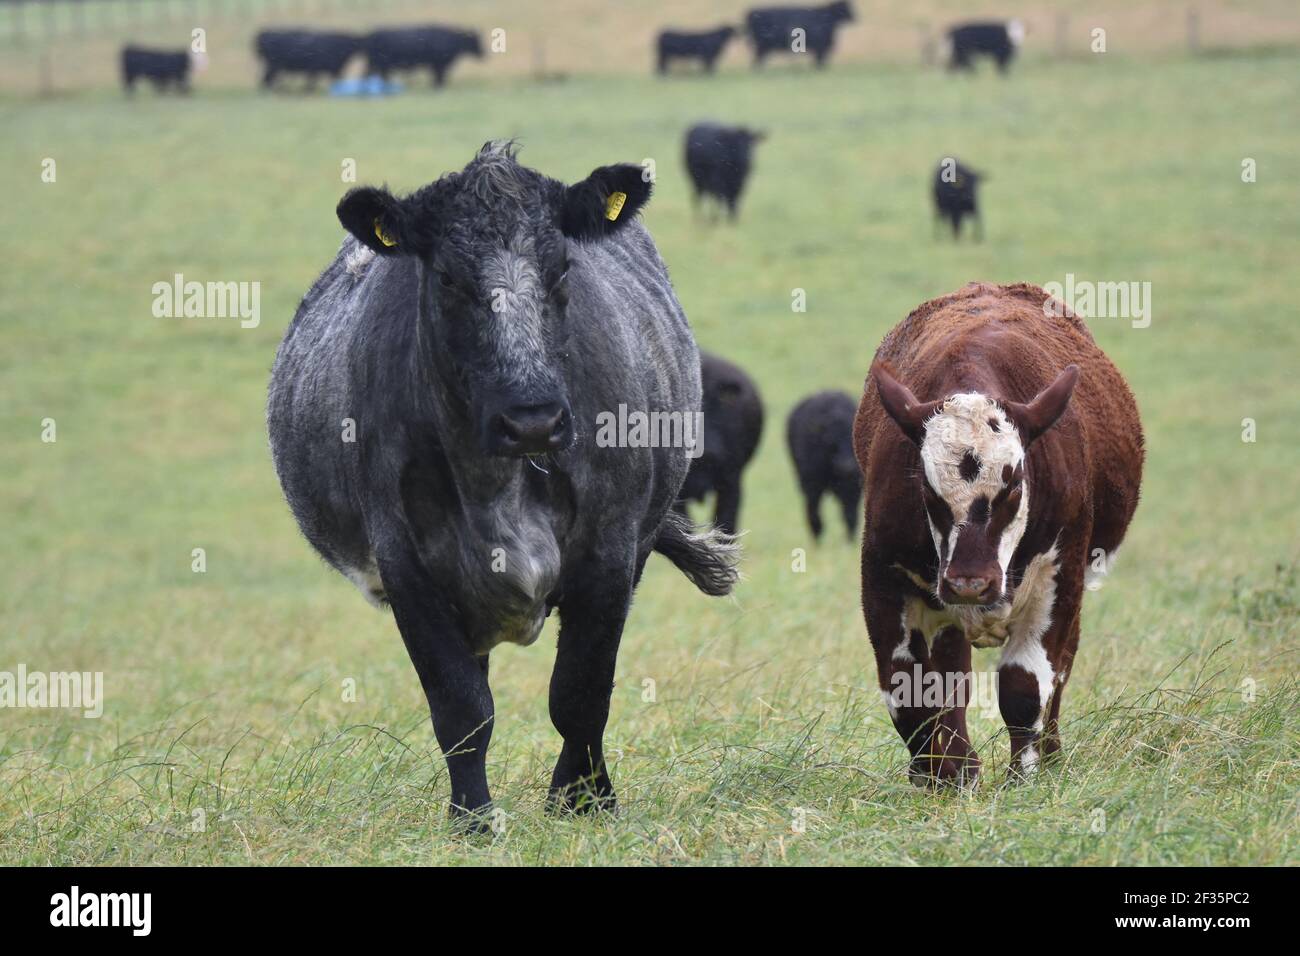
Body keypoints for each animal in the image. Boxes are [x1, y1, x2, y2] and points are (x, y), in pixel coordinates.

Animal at [267, 142, 740, 829]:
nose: (532, 419)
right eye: (445, 277)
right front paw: (472, 819)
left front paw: (583, 801)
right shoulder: (408, 566)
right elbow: (463, 708)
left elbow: (580, 693)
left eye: (563, 268)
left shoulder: (611, 552)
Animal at [787, 390, 861, 542]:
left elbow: (850, 516)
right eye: (831, 439)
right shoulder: (812, 486)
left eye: (853, 436)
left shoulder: (853, 489)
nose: (846, 466)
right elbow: (814, 516)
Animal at [854, 282, 1143, 788]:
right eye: (927, 487)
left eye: (1014, 484)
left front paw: (1023, 776)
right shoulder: (884, 577)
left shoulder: (1059, 580)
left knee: (1058, 675)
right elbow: (911, 692)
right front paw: (942, 776)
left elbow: (1024, 686)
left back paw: (1050, 755)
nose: (971, 582)